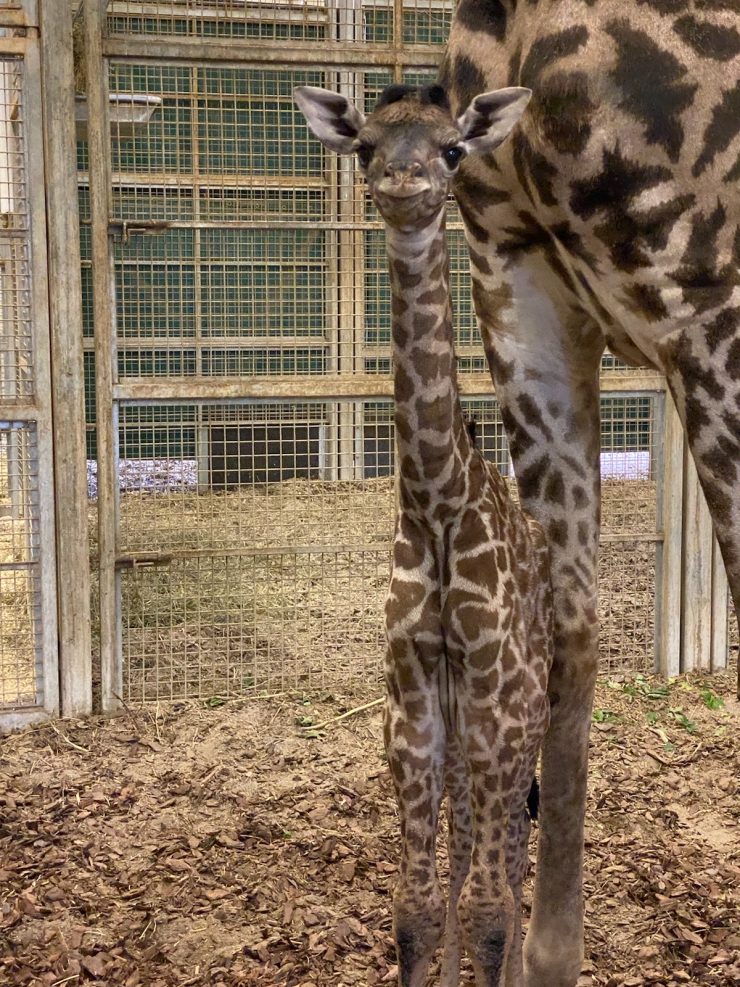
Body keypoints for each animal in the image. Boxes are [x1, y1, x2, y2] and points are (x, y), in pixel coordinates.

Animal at [298, 85, 552, 987]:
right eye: (367, 146)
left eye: (450, 150)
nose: (405, 184)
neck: (438, 508)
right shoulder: (409, 712)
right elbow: (414, 904)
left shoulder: (498, 708)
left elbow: (488, 906)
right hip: (461, 738)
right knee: (471, 847)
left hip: (524, 725)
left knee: (511, 856)